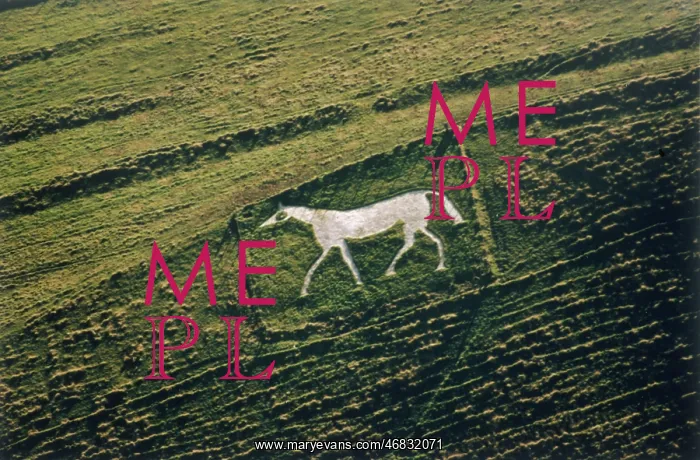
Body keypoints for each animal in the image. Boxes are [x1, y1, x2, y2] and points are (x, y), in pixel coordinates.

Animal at [261, 190, 463, 296]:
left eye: (278, 215)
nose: (263, 225)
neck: (317, 219)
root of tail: (423, 192)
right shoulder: (338, 243)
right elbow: (347, 260)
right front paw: (359, 282)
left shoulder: (331, 243)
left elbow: (316, 265)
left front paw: (304, 290)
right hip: (415, 224)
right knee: (424, 240)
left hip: (414, 223)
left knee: (416, 242)